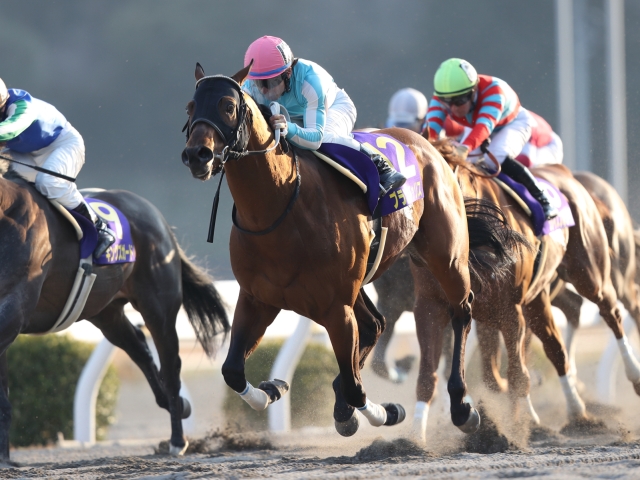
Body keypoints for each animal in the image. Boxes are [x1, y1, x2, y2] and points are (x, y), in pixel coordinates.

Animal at [0, 167, 229, 460]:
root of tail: (156, 216)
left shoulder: (14, 309)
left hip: (158, 307)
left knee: (170, 366)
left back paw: (177, 440)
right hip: (104, 312)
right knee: (139, 348)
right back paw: (176, 404)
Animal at [181, 64, 524, 438]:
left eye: (228, 106)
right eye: (190, 107)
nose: (197, 155)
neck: (280, 209)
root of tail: (429, 144)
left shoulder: (336, 307)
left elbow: (356, 387)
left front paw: (385, 412)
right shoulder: (258, 299)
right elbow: (232, 371)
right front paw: (275, 388)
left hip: (445, 255)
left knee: (461, 310)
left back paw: (462, 407)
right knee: (376, 325)